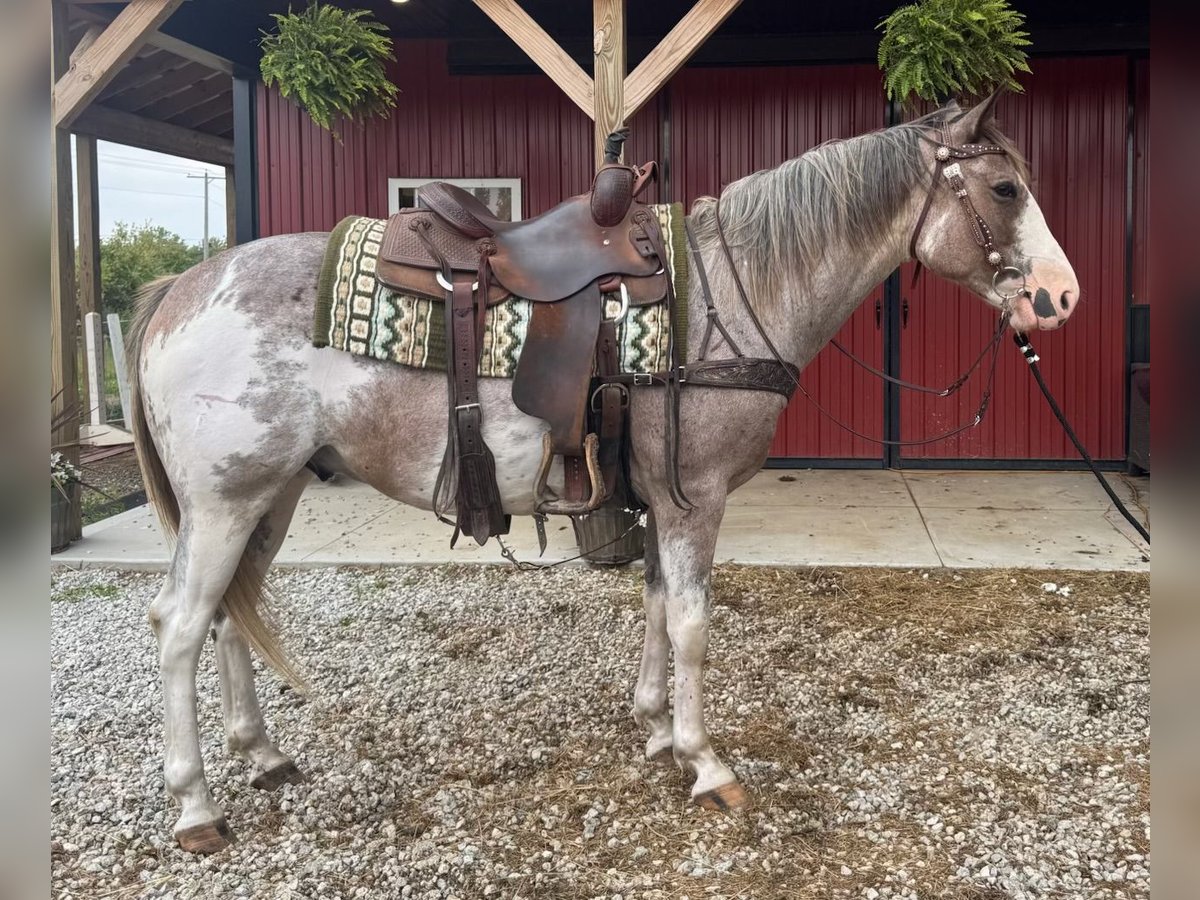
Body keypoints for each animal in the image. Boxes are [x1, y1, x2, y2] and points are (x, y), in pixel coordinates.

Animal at [126, 94, 1078, 852]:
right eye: (1005, 190)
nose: (1061, 297)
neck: (733, 294)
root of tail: (179, 288)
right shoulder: (695, 500)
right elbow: (691, 622)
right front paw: (705, 761)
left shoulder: (658, 497)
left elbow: (656, 604)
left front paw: (654, 725)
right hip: (227, 500)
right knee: (180, 623)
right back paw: (195, 807)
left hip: (272, 495)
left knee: (230, 612)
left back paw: (263, 755)